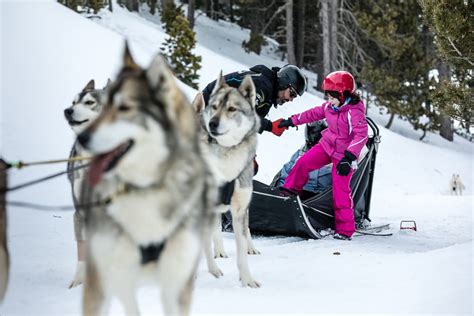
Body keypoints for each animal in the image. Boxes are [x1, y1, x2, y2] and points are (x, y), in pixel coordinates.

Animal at [76, 45, 215, 316]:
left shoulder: (176, 283)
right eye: (103, 108)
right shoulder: (104, 279)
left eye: (124, 108)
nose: (82, 138)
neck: (146, 188)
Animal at [191, 73, 262, 288]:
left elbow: (241, 252)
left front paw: (247, 280)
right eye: (214, 107)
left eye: (232, 109)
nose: (212, 124)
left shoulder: (238, 209)